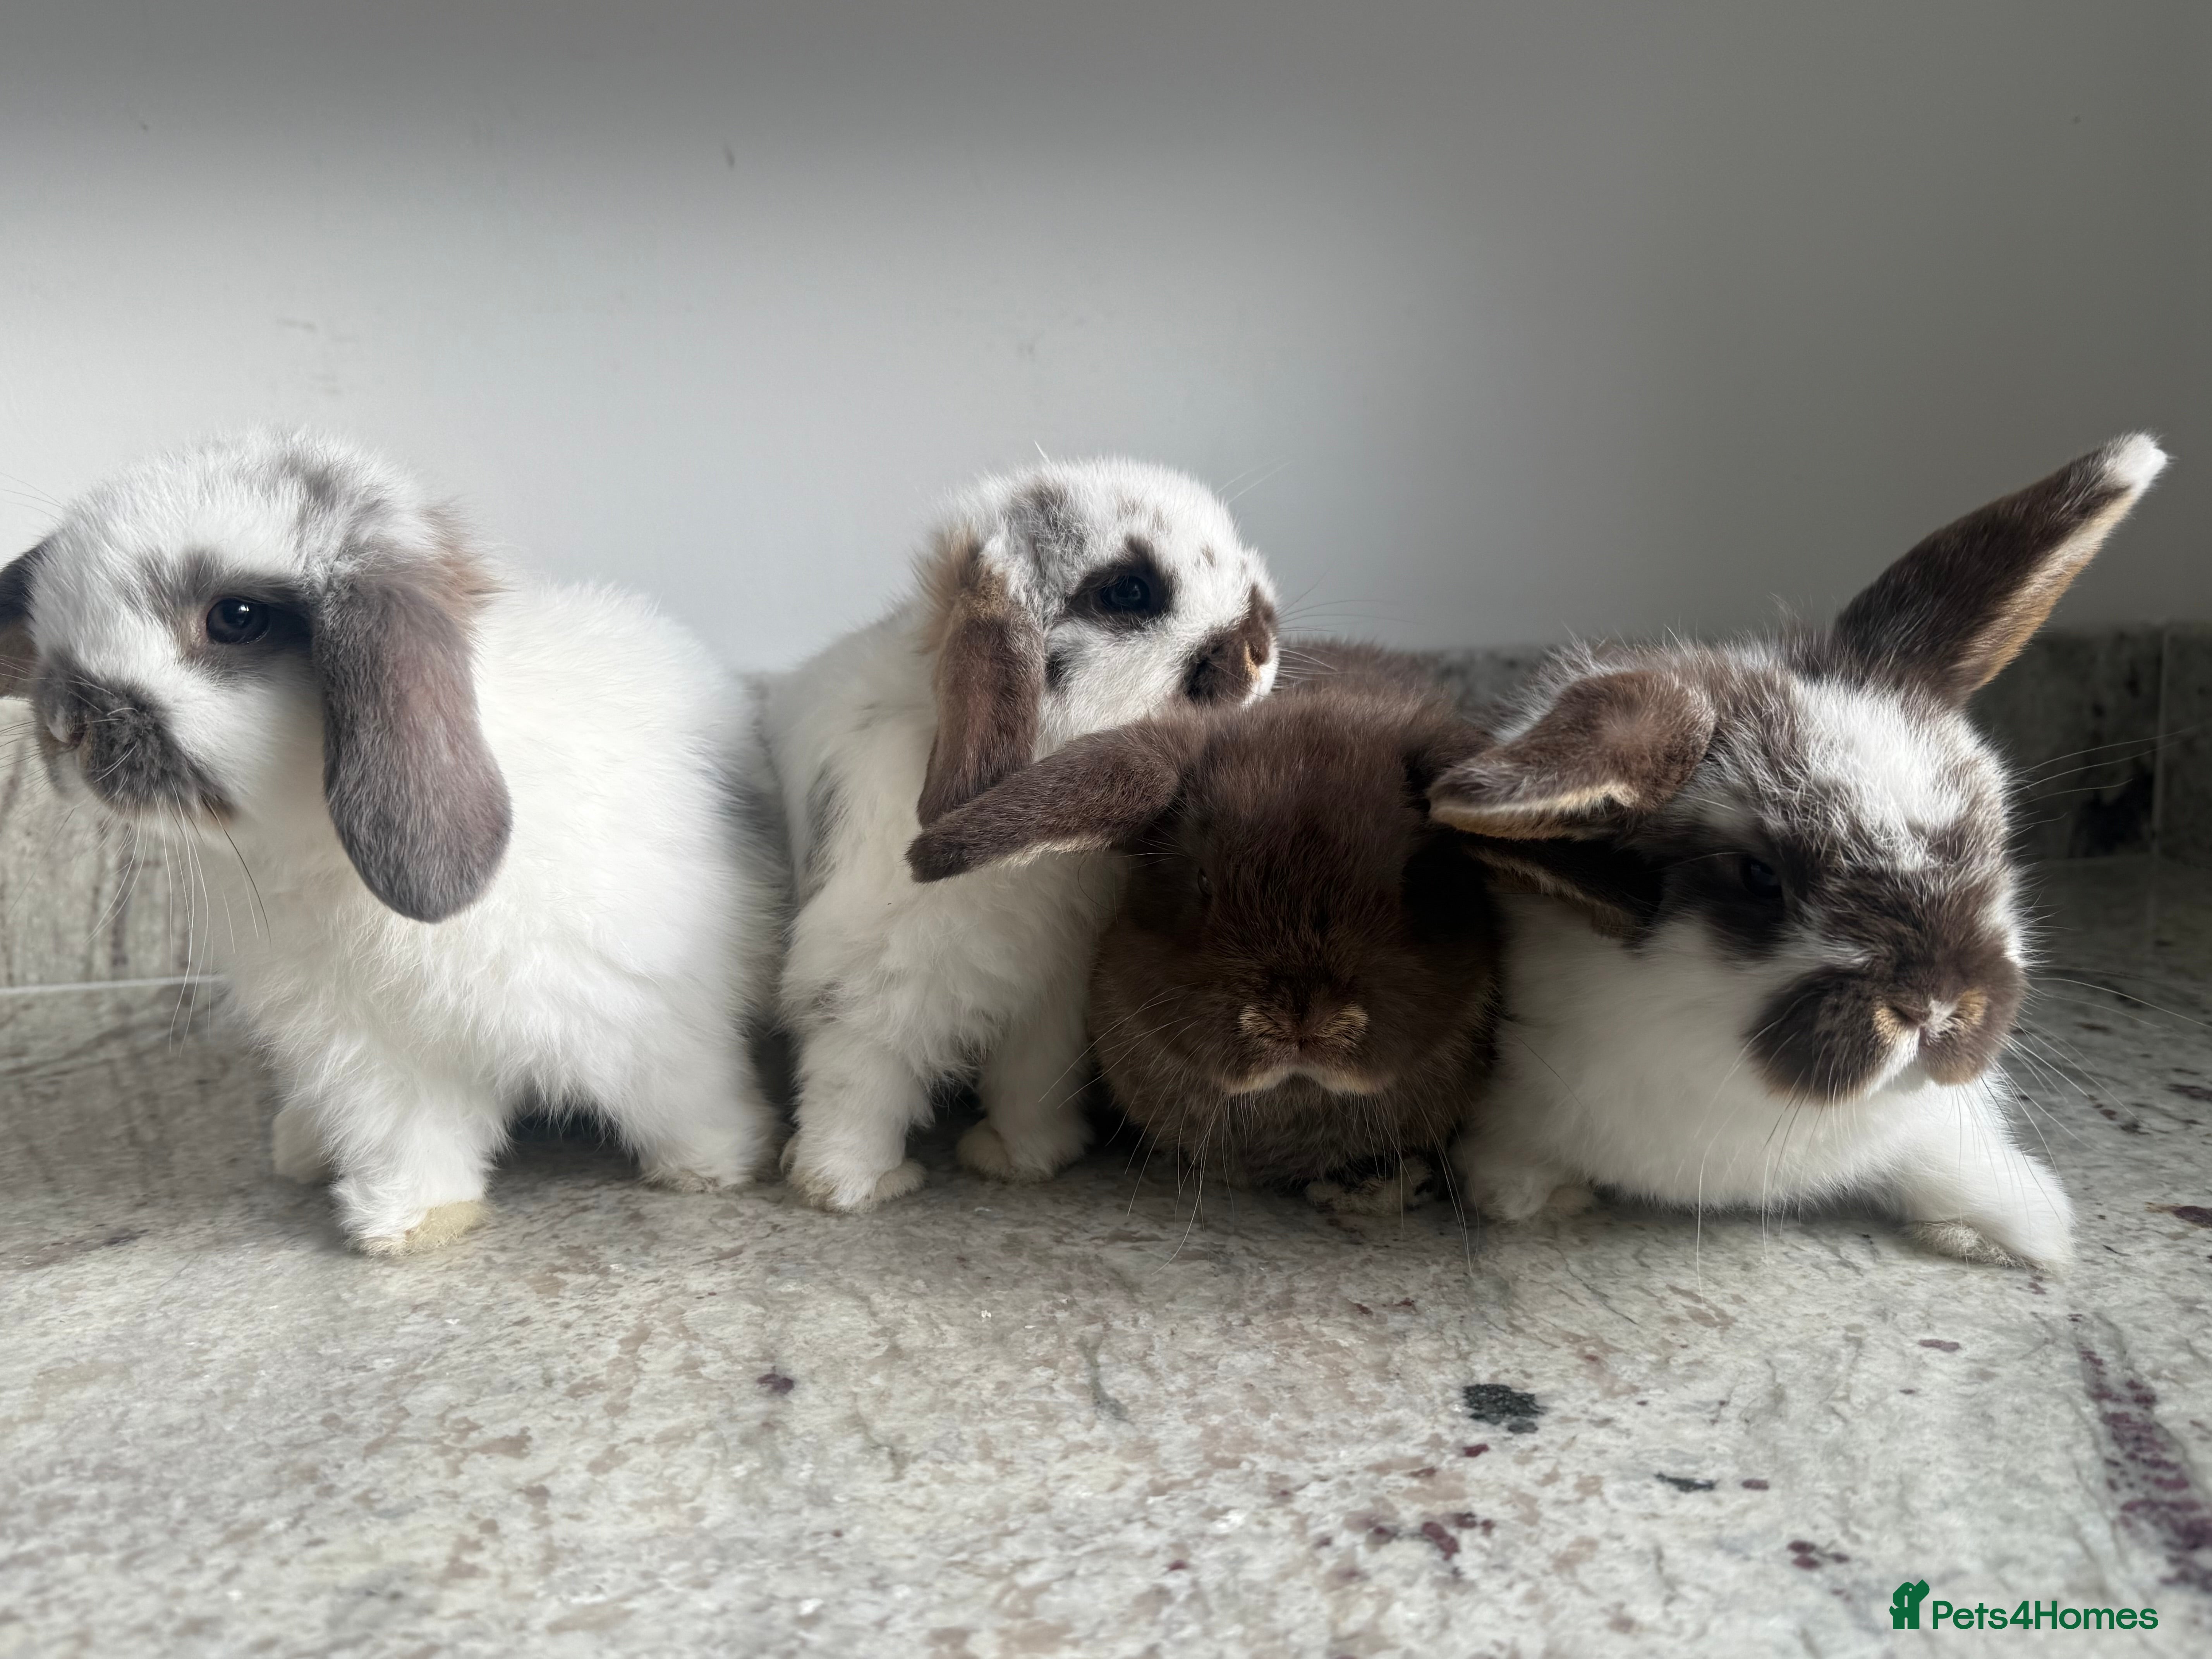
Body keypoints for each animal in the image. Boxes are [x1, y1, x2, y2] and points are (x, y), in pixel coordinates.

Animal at [0, 431, 780, 1254]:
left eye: (235, 617)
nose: (61, 726)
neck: (314, 848)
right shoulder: (373, 1053)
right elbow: (410, 1135)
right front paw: (410, 1224)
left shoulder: (651, 1014)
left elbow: (680, 1093)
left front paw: (716, 1165)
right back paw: (300, 1146)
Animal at [759, 458, 1280, 1211]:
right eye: (1129, 590)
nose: (1262, 648)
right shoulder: (861, 995)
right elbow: (855, 1092)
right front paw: (850, 1187)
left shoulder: (1048, 1000)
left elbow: (1030, 1085)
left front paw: (1024, 1161)